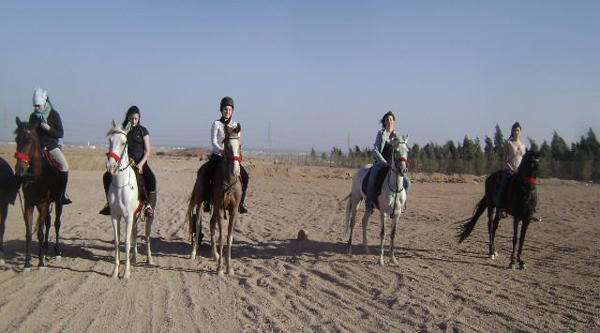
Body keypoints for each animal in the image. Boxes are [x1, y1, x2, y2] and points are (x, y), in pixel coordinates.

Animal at [13, 115, 64, 268]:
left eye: (30, 141)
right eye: (17, 139)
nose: (20, 170)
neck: (37, 176)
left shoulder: (42, 204)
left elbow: (40, 232)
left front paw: (41, 262)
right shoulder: (29, 204)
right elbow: (29, 233)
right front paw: (27, 263)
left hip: (57, 201)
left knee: (56, 223)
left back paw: (56, 251)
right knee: (48, 222)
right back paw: (45, 248)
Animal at [108, 119, 155, 278]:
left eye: (124, 142)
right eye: (110, 140)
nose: (111, 166)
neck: (121, 185)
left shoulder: (128, 216)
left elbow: (126, 241)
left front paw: (126, 273)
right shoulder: (115, 216)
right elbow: (118, 242)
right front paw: (115, 271)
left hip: (148, 216)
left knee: (146, 236)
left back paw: (149, 260)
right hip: (134, 216)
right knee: (135, 234)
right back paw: (134, 257)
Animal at [344, 134, 410, 266]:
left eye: (407, 151)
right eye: (395, 151)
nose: (402, 169)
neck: (394, 188)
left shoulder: (397, 213)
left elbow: (393, 234)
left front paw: (393, 258)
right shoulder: (383, 212)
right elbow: (383, 234)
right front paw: (380, 259)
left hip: (369, 205)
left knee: (364, 221)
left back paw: (366, 249)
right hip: (356, 200)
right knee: (353, 222)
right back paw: (349, 249)